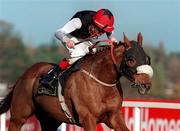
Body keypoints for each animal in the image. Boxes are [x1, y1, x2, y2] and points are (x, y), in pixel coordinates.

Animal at [0, 33, 153, 131]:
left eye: (147, 58)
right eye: (131, 59)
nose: (146, 85)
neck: (101, 82)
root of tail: (23, 75)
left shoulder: (113, 116)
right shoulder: (88, 118)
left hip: (49, 119)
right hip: (18, 116)